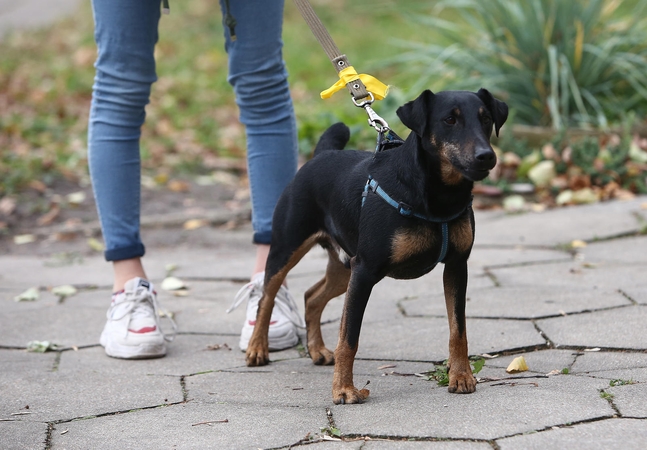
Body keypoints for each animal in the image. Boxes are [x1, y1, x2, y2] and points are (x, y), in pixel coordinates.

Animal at [243, 88, 506, 404]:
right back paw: (257, 348)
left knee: (311, 296)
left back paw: (317, 350)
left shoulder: (456, 266)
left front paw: (461, 376)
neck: (437, 194)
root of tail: (320, 154)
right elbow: (349, 337)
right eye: (449, 120)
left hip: (345, 266)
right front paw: (344, 390)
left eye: (487, 119)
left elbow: (459, 329)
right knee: (267, 296)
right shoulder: (366, 271)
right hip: (289, 248)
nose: (486, 156)